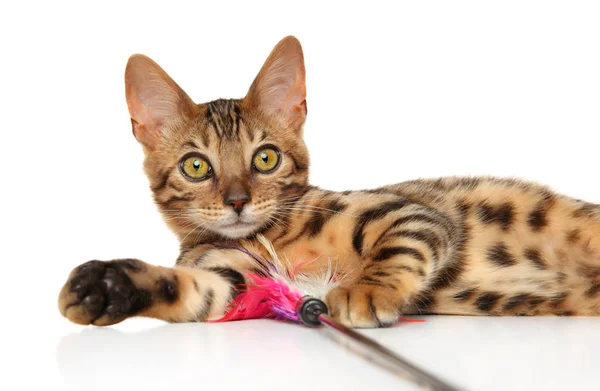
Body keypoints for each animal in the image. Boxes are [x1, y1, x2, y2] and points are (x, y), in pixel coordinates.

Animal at [58, 36, 600, 330]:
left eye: (266, 158)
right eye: (196, 167)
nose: (237, 201)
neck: (274, 237)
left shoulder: (407, 212)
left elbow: (398, 248)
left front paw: (367, 290)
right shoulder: (233, 279)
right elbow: (190, 290)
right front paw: (112, 287)